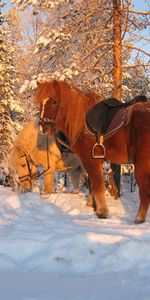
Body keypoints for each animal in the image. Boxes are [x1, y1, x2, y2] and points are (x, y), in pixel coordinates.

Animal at [34, 79, 150, 223]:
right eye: (40, 102)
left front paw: (102, 212)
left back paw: (139, 219)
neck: (81, 120)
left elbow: (97, 185)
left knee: (145, 192)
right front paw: (92, 206)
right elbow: (91, 184)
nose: (43, 127)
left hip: (141, 165)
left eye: (55, 102)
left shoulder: (90, 160)